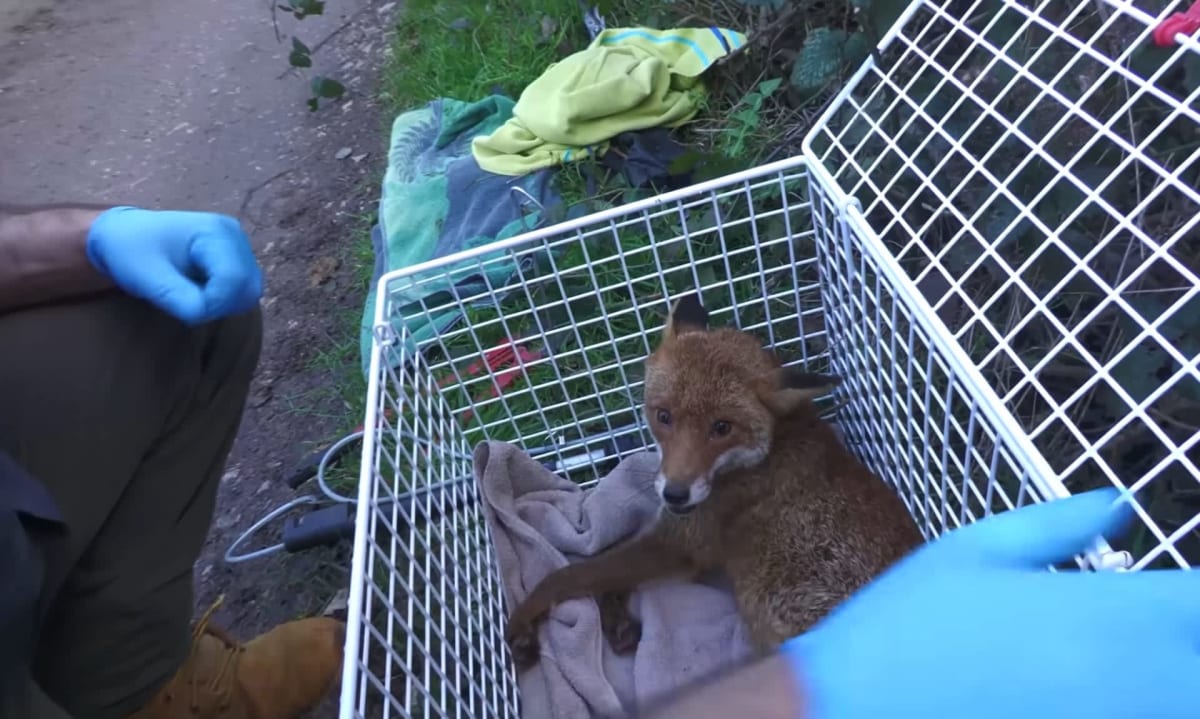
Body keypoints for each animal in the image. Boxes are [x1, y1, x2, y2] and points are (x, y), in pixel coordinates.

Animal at [504, 293, 925, 668]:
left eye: (722, 428)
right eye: (664, 416)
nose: (675, 494)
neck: (765, 454)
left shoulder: (680, 546)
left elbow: (568, 574)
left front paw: (520, 623)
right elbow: (602, 566)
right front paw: (617, 622)